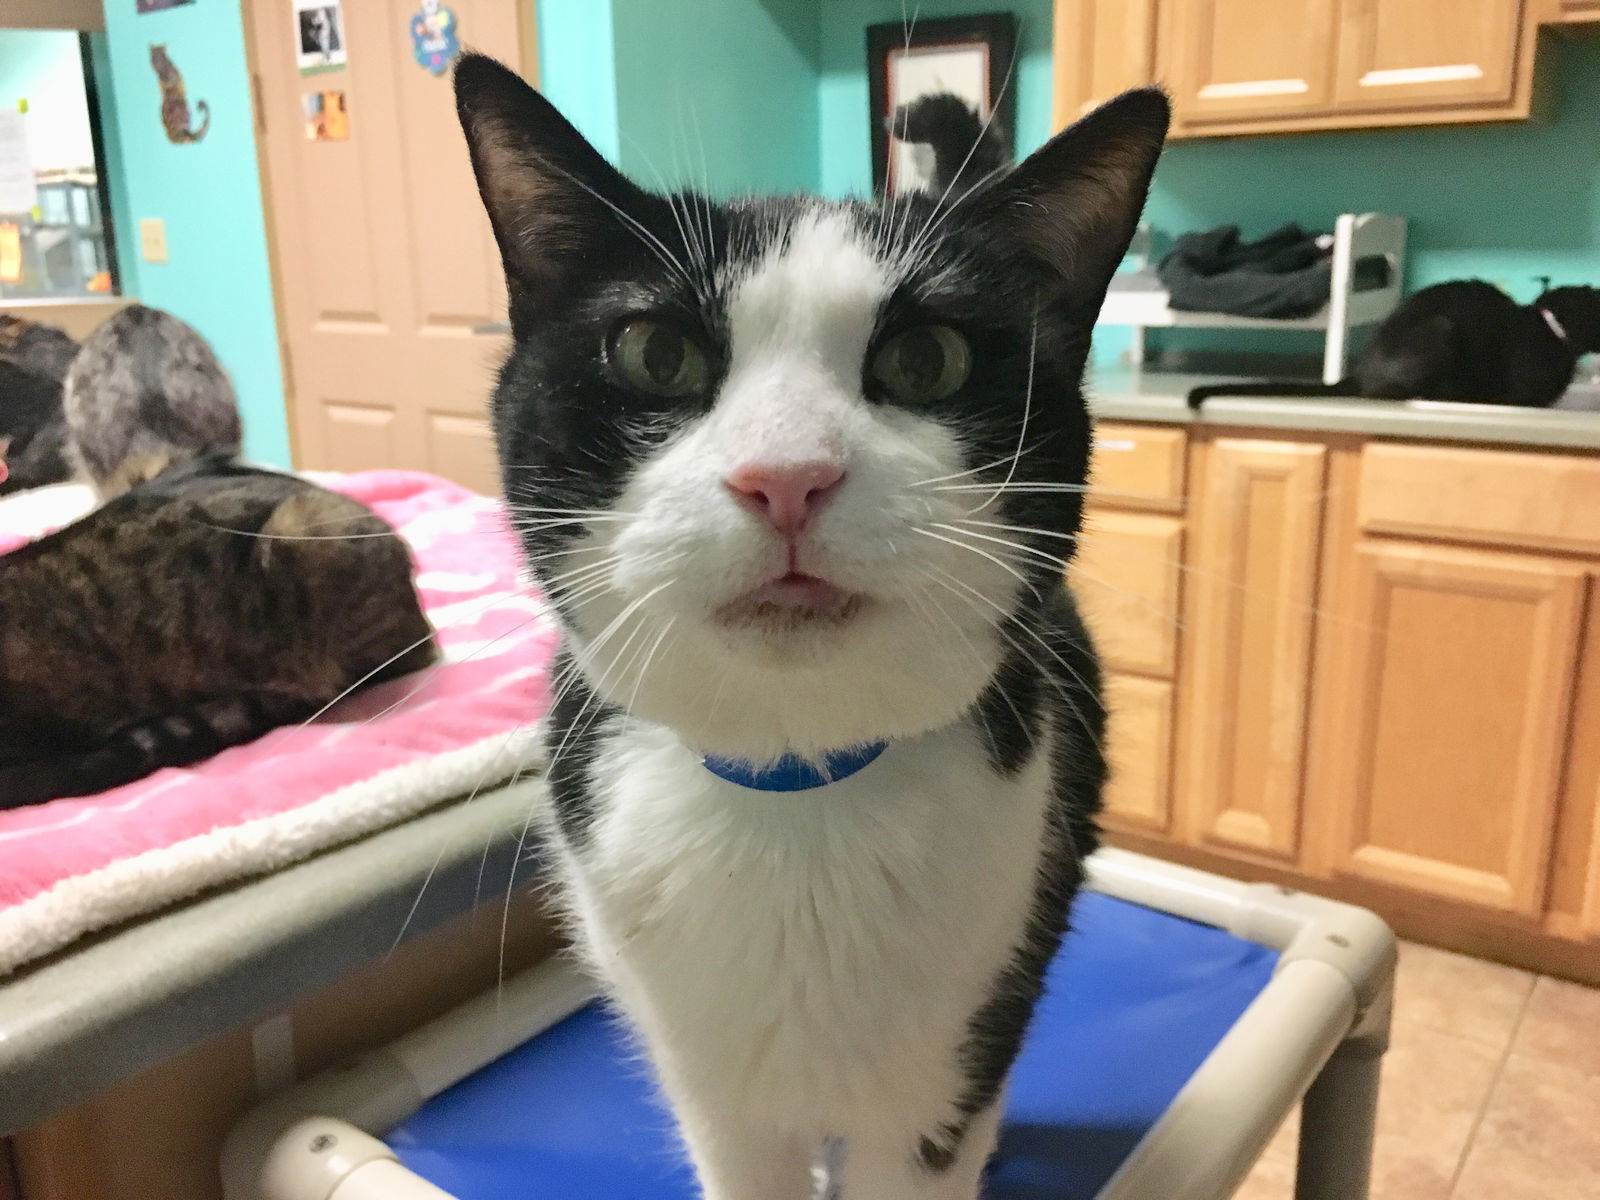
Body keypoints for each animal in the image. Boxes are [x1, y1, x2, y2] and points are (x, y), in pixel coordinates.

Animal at [457, 51, 1171, 1196]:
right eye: (654, 353)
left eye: (928, 361)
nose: (785, 477)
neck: (793, 784)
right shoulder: (712, 1093)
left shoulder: (951, 1055)